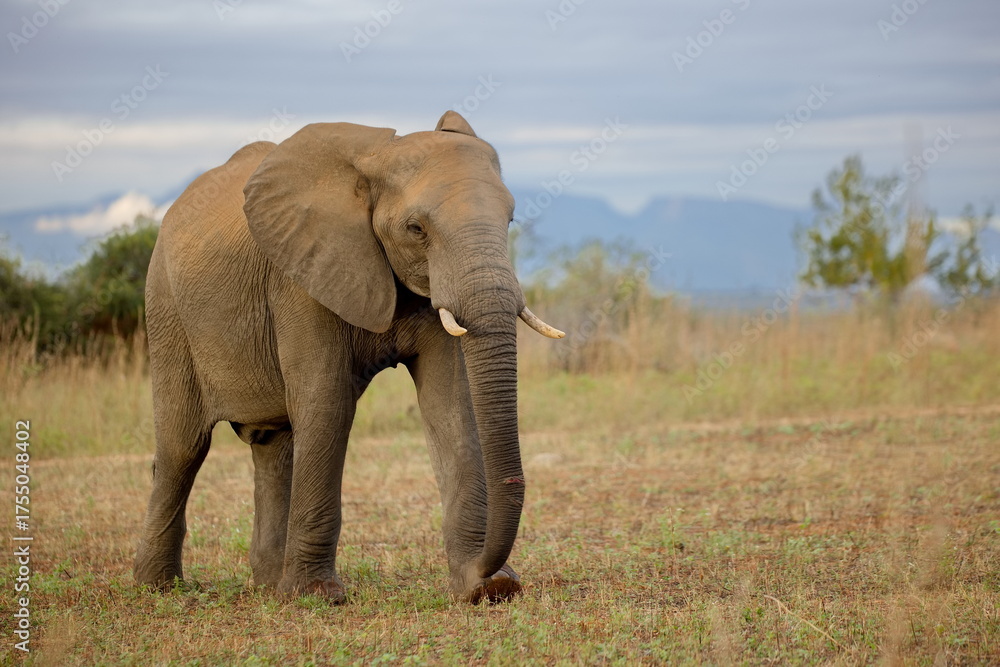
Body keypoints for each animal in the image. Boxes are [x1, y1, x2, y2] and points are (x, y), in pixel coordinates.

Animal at [133, 110, 563, 605]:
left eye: (510, 219)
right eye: (417, 229)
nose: (493, 574)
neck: (376, 160)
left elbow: (451, 406)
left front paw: (484, 590)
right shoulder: (300, 275)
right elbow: (327, 403)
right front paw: (317, 596)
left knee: (274, 444)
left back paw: (269, 585)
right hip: (166, 309)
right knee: (183, 446)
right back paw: (158, 588)